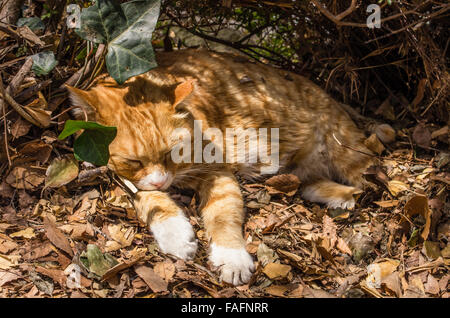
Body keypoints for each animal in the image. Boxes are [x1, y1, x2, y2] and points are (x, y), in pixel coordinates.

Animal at [67, 49, 374, 286]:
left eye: (171, 153)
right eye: (134, 162)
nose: (161, 181)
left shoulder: (216, 171)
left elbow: (224, 214)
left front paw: (231, 257)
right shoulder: (116, 175)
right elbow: (151, 199)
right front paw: (176, 236)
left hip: (347, 153)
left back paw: (352, 195)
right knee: (308, 185)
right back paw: (342, 197)